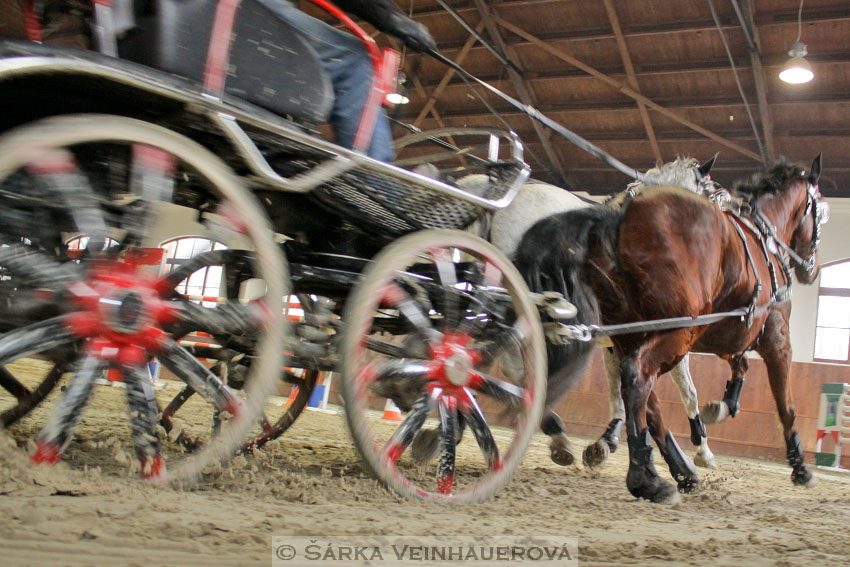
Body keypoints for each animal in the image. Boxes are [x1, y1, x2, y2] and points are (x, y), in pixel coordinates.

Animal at [512, 155, 824, 502]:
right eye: (820, 213)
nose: (811, 269)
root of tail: (619, 219)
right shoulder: (775, 339)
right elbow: (784, 403)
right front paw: (799, 466)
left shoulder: (726, 334)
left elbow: (737, 366)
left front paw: (722, 407)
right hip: (675, 333)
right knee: (637, 377)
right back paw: (645, 474)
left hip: (634, 332)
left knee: (640, 391)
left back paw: (664, 472)